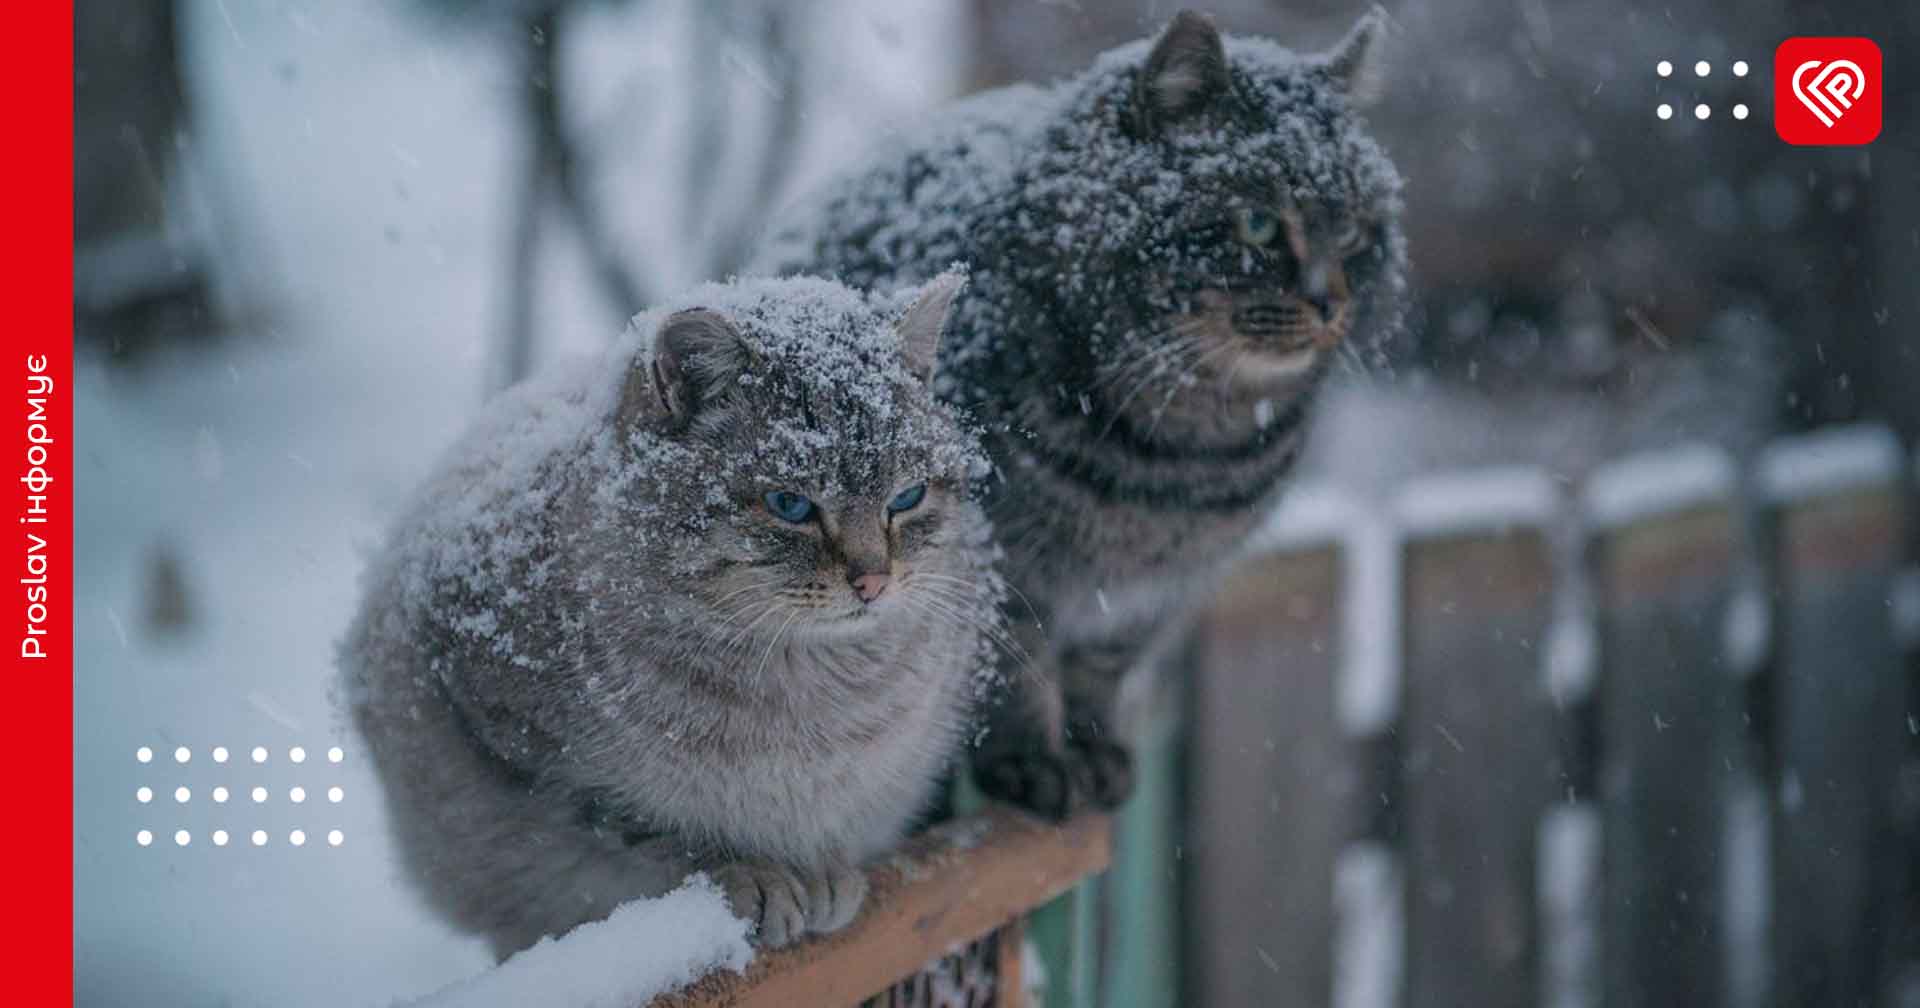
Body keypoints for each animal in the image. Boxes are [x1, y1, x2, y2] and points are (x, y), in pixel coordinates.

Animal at [752, 9, 1413, 817]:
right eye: (1258, 224)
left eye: (1352, 232)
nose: (1330, 303)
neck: (1185, 456)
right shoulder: (1004, 567)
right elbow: (1017, 673)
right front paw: (1034, 763)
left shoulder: (1154, 594)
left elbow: (1100, 671)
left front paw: (1096, 752)